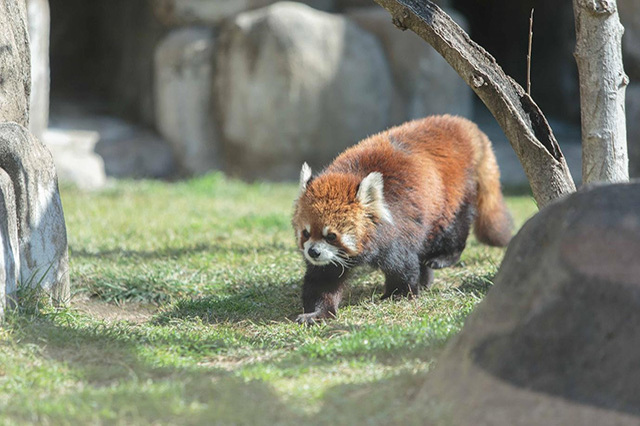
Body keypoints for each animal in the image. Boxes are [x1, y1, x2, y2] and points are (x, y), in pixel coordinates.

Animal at [292, 115, 512, 324]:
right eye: (306, 233)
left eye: (331, 236)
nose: (313, 252)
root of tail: (465, 126)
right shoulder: (330, 260)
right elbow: (323, 282)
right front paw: (316, 313)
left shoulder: (398, 231)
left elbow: (402, 265)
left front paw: (398, 294)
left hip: (455, 195)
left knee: (454, 227)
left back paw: (442, 258)